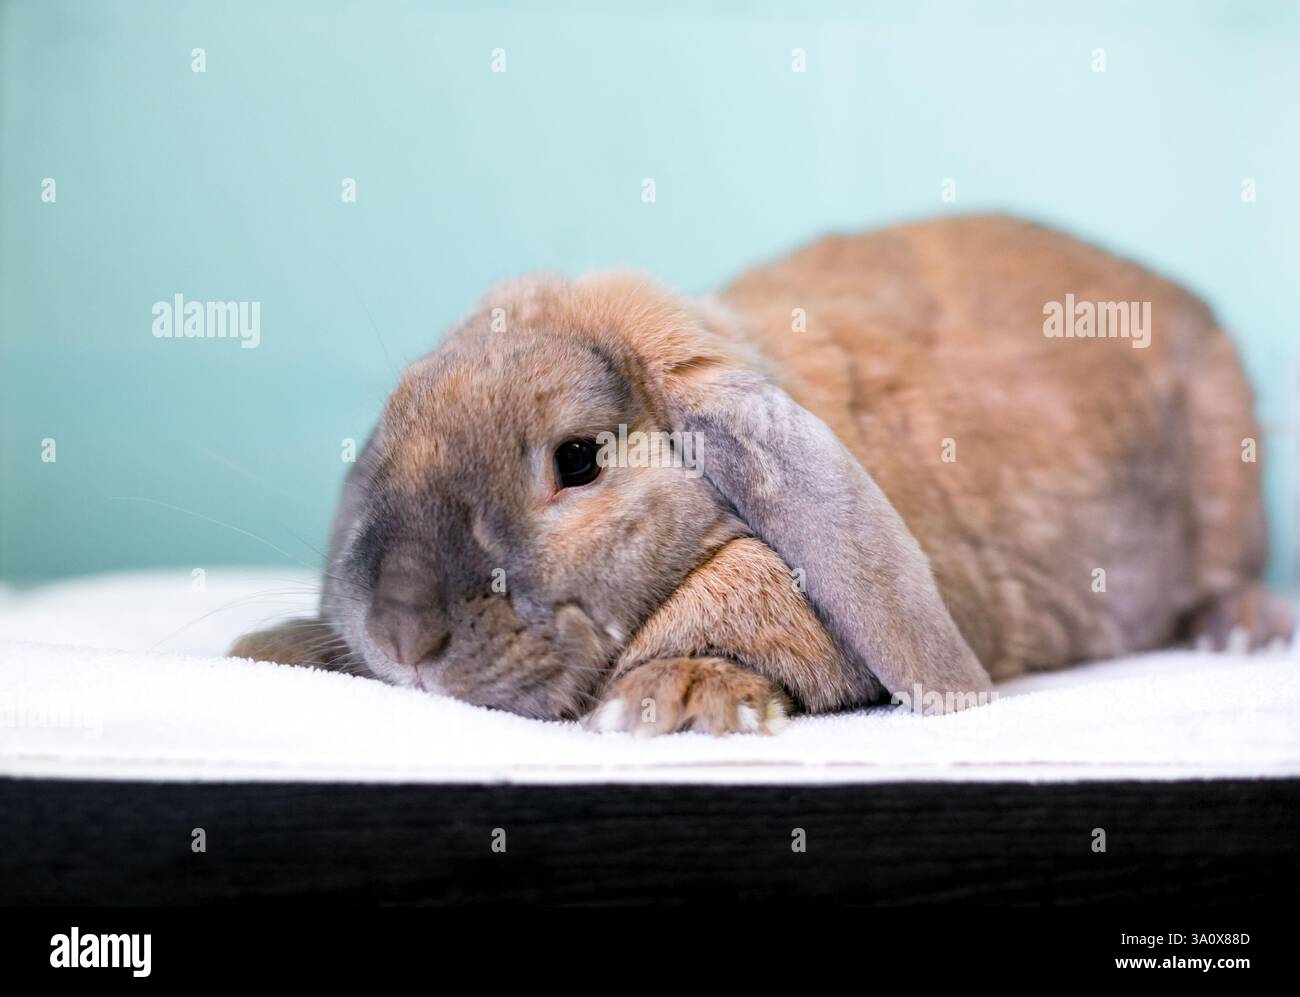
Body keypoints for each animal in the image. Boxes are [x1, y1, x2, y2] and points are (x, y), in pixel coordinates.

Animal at [231, 215, 1293, 734]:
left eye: (578, 459)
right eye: (396, 417)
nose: (401, 632)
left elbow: (744, 598)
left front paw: (676, 697)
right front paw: (270, 646)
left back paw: (1245, 629)